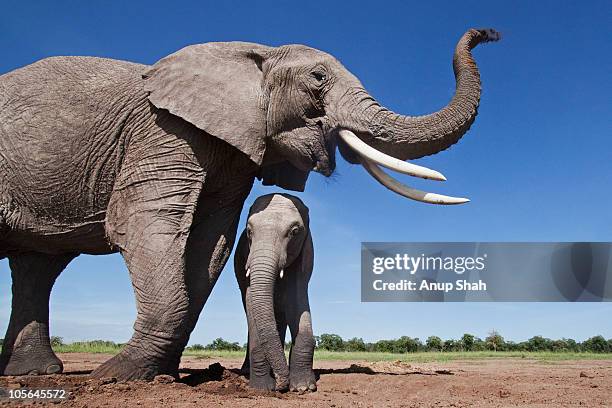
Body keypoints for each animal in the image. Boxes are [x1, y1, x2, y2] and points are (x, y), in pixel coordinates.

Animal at [234, 194, 316, 392]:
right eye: (249, 232)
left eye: (295, 231)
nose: (281, 384)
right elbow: (251, 302)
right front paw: (263, 388)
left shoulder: (305, 253)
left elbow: (297, 298)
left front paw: (303, 387)